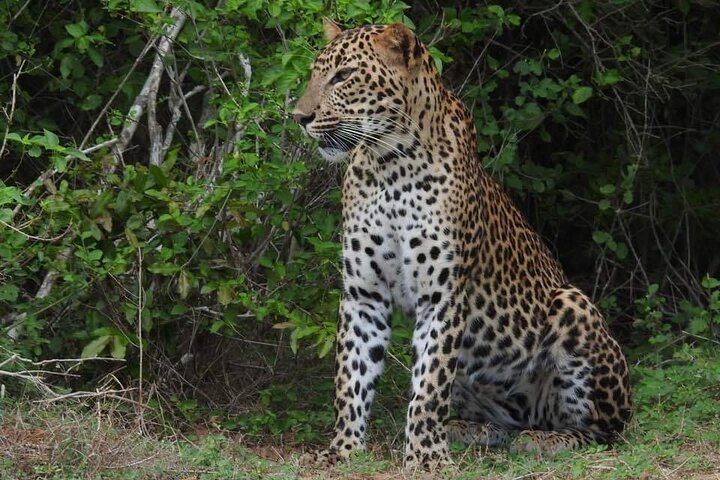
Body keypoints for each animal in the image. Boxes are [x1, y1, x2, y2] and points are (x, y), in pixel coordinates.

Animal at [292, 18, 632, 470]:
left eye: (344, 76)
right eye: (316, 74)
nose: (299, 117)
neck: (389, 165)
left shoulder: (442, 296)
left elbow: (429, 386)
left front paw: (425, 458)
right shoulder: (364, 295)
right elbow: (352, 377)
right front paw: (343, 449)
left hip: (573, 306)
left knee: (603, 432)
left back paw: (545, 439)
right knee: (502, 426)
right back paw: (469, 431)